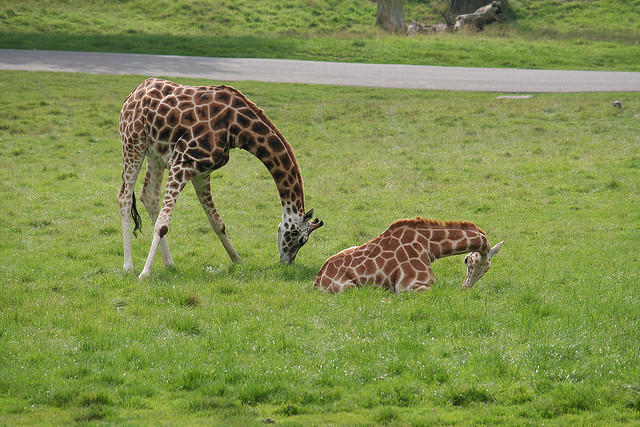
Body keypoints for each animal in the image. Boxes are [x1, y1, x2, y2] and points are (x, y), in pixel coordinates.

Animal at [118, 78, 323, 279]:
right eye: (301, 239)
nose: (287, 263)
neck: (236, 128)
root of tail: (134, 93)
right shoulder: (182, 161)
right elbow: (163, 224)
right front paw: (145, 273)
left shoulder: (201, 172)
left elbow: (217, 223)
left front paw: (238, 260)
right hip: (133, 142)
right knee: (124, 197)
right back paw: (128, 266)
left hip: (155, 154)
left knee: (149, 196)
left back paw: (169, 263)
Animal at [313, 217, 502, 293]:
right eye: (466, 260)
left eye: (486, 270)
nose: (466, 287)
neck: (428, 245)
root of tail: (317, 279)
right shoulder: (409, 286)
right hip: (348, 287)